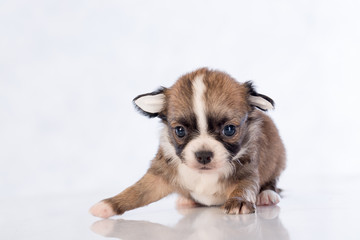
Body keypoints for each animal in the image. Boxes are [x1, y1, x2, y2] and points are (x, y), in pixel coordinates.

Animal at [88, 67, 286, 218]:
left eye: (229, 129)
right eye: (180, 131)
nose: (204, 155)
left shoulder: (247, 172)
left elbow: (244, 187)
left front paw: (239, 201)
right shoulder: (159, 175)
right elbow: (136, 191)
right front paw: (108, 205)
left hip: (277, 161)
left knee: (271, 181)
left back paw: (267, 195)